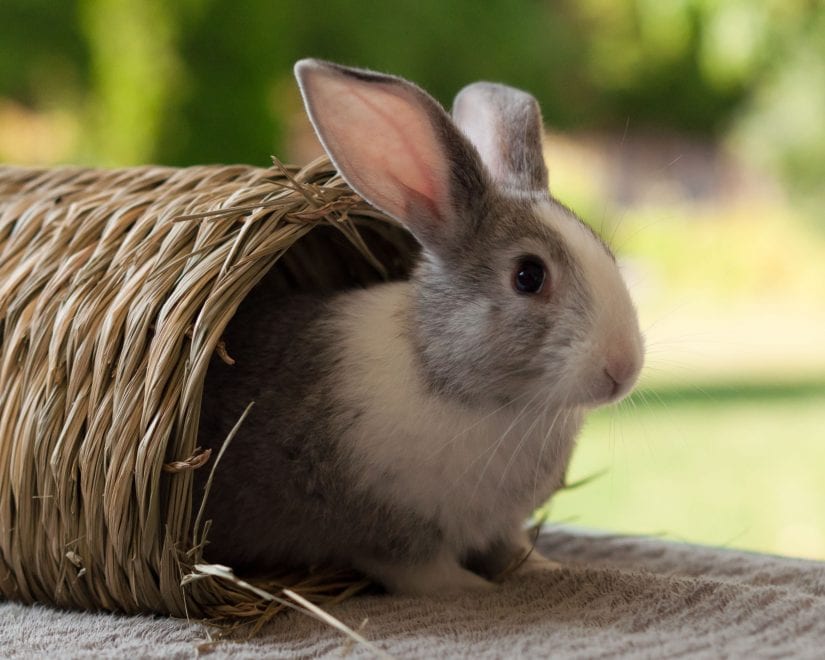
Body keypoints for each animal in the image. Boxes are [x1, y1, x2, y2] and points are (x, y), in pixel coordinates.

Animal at [195, 59, 644, 596]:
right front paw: (478, 591)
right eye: (528, 276)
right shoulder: (387, 536)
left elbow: (512, 549)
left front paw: (544, 568)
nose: (624, 367)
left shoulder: (500, 527)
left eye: (607, 253)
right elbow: (426, 572)